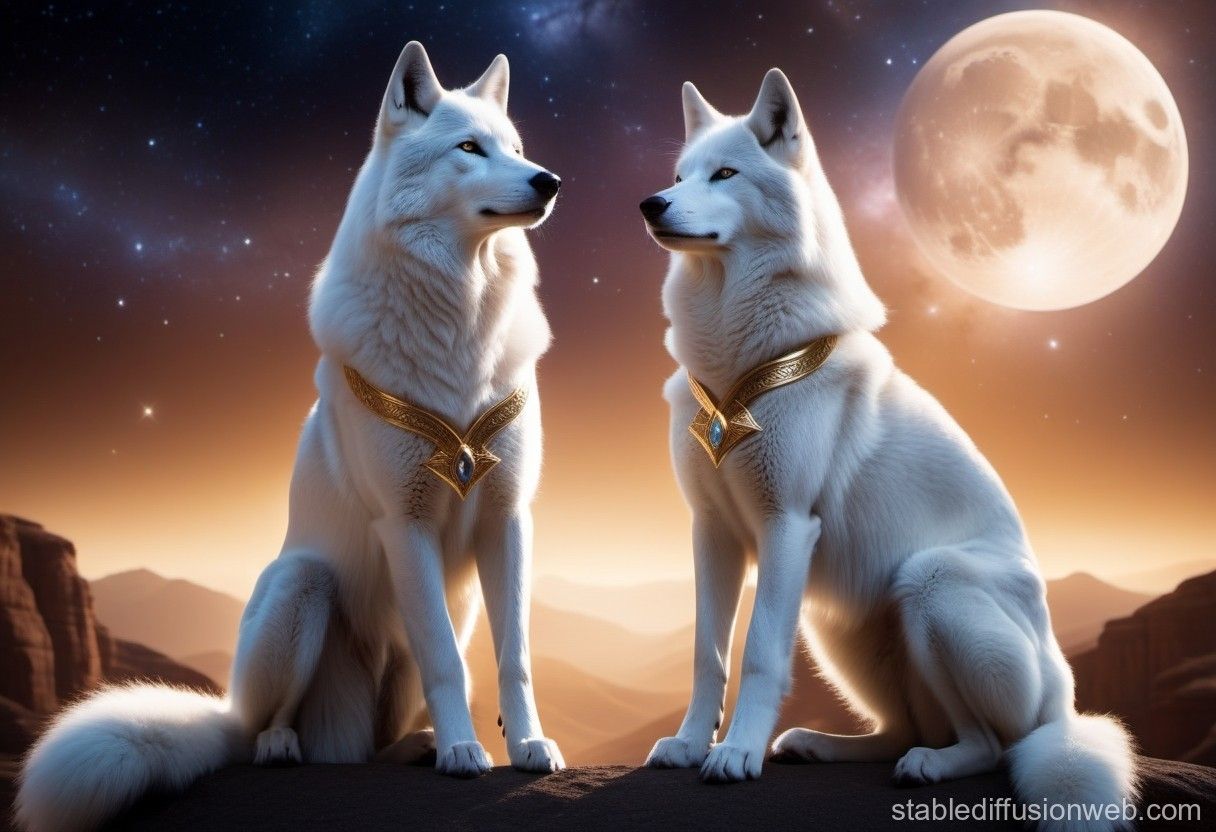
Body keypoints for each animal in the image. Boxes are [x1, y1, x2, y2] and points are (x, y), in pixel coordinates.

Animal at [17, 41, 564, 832]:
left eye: (517, 149)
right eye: (470, 148)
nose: (549, 180)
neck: (457, 322)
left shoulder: (508, 519)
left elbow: (513, 657)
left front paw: (527, 748)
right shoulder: (404, 524)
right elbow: (446, 663)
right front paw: (467, 753)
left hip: (445, 614)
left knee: (378, 740)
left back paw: (415, 745)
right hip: (300, 589)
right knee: (262, 730)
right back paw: (287, 745)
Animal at [638, 69, 1136, 830]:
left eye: (725, 173)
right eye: (677, 176)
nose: (650, 204)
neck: (737, 364)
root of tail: (1064, 705)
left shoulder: (786, 526)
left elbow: (757, 655)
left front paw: (736, 755)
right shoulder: (713, 533)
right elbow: (707, 654)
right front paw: (692, 744)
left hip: (930, 584)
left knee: (989, 744)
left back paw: (929, 765)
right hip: (838, 628)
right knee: (901, 729)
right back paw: (818, 744)